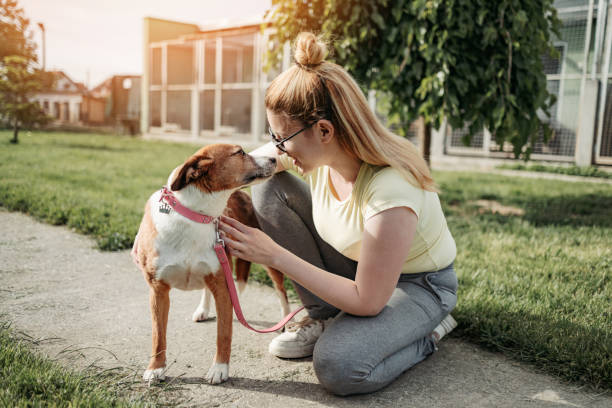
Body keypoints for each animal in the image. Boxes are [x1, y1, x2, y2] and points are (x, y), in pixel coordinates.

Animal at [130, 144, 288, 386]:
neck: (197, 216)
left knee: (281, 290)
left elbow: (223, 333)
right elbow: (158, 335)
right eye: (240, 152)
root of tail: (241, 194)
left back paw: (288, 322)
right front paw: (156, 369)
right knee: (206, 288)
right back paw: (203, 310)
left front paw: (219, 369)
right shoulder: (158, 290)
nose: (274, 158)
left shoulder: (223, 287)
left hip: (268, 258)